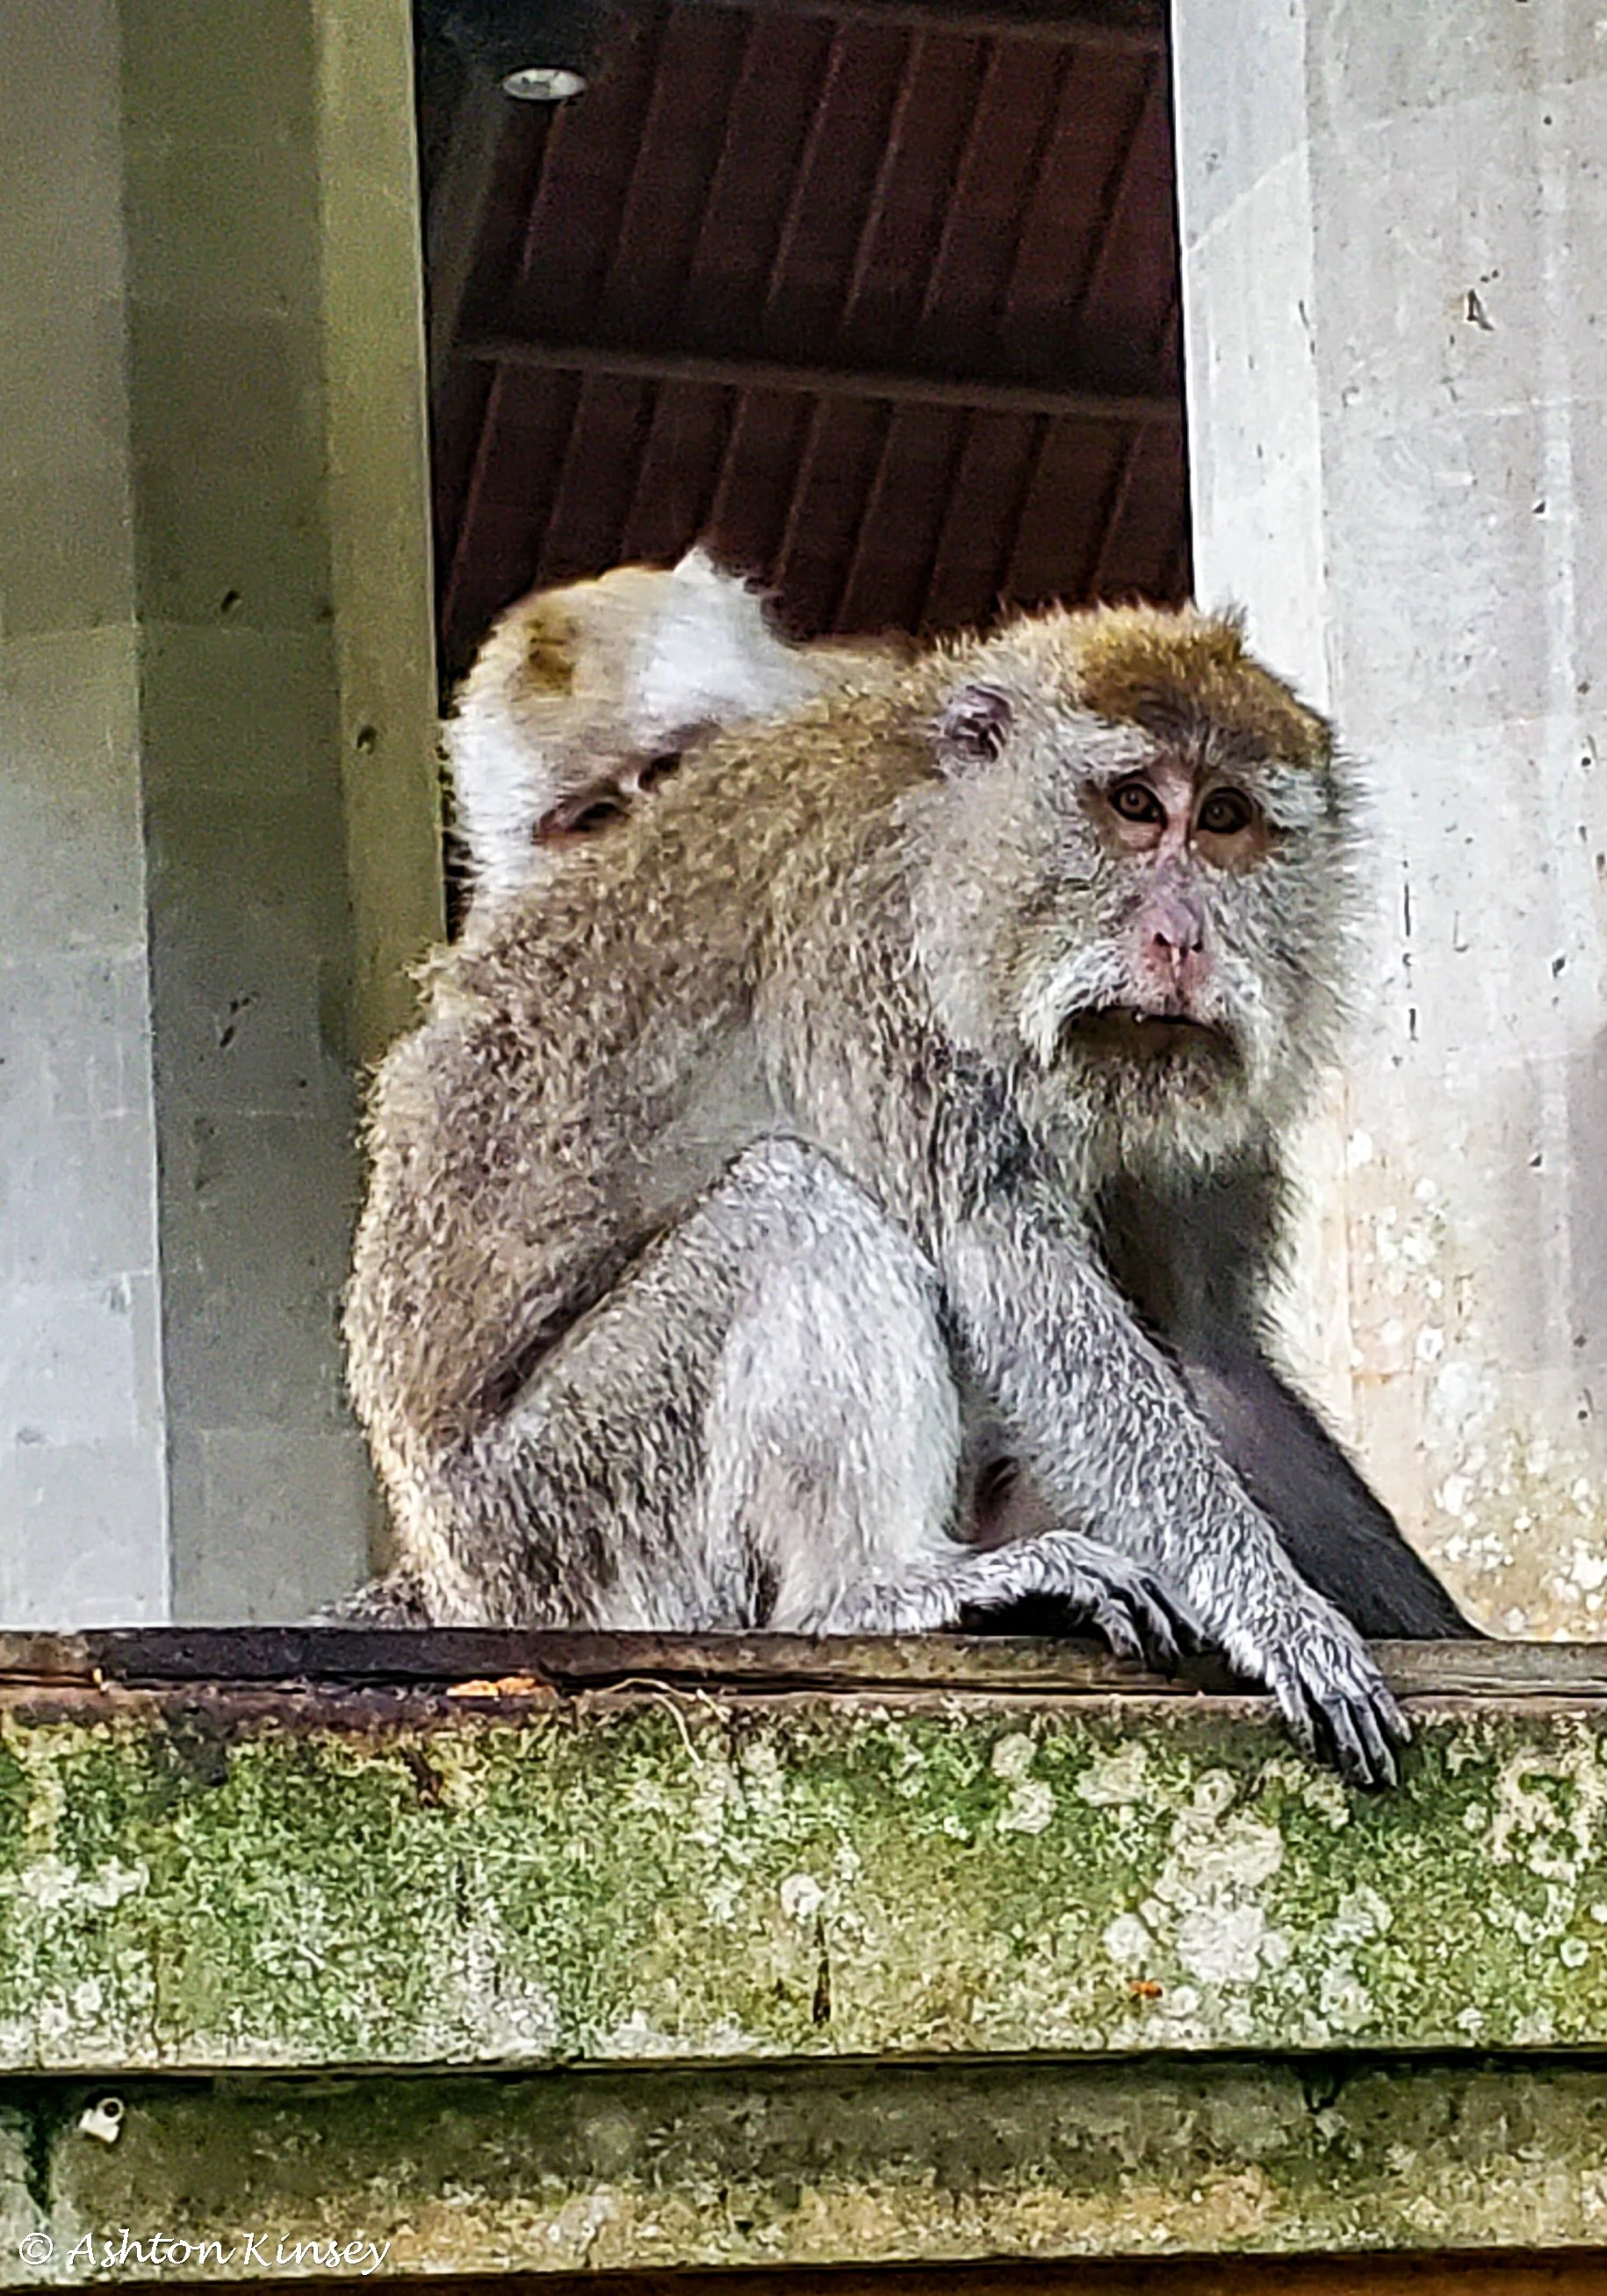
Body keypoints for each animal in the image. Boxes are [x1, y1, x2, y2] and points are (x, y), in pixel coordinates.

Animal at [341, 600, 1481, 1784]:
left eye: (1224, 819)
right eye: (1134, 805)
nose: (1182, 939)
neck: (950, 838)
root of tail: (454, 1569)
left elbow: (1210, 1356)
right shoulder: (866, 960)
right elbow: (1010, 1275)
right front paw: (1269, 1607)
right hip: (572, 1528)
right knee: (791, 1203)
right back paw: (873, 1592)